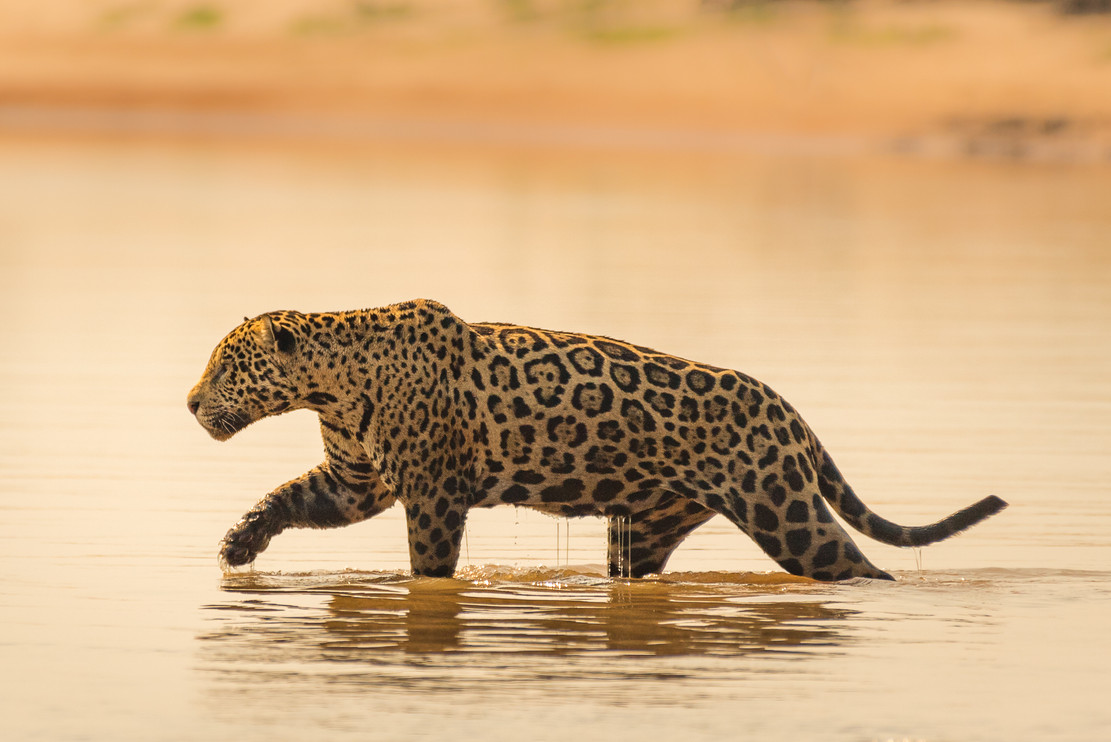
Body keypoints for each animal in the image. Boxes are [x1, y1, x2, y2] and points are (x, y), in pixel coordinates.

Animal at [187, 299, 1007, 581]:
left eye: (226, 364)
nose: (191, 402)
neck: (330, 384)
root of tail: (787, 409)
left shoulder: (433, 494)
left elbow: (428, 565)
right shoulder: (355, 483)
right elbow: (286, 498)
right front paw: (238, 545)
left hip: (785, 513)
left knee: (859, 567)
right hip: (645, 527)